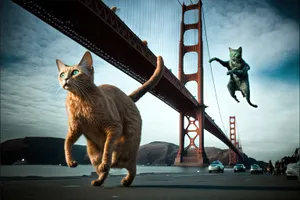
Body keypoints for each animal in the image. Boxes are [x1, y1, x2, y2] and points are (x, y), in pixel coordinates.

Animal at [56, 51, 164, 186]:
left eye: (75, 72)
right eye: (62, 74)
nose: (65, 79)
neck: (80, 100)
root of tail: (128, 97)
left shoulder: (113, 127)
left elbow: (107, 148)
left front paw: (106, 161)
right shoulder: (74, 130)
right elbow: (66, 144)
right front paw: (71, 162)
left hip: (126, 143)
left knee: (129, 166)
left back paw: (123, 177)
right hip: (92, 152)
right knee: (106, 169)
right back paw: (98, 180)